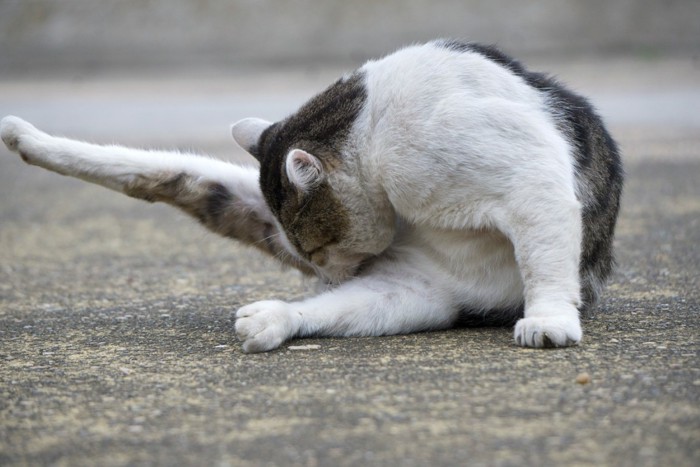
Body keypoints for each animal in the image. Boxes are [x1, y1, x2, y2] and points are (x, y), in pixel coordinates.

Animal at [0, 40, 624, 352]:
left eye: (316, 247)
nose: (320, 273)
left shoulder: (527, 175)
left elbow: (545, 257)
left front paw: (550, 321)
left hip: (422, 292)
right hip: (397, 290)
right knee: (155, 172)